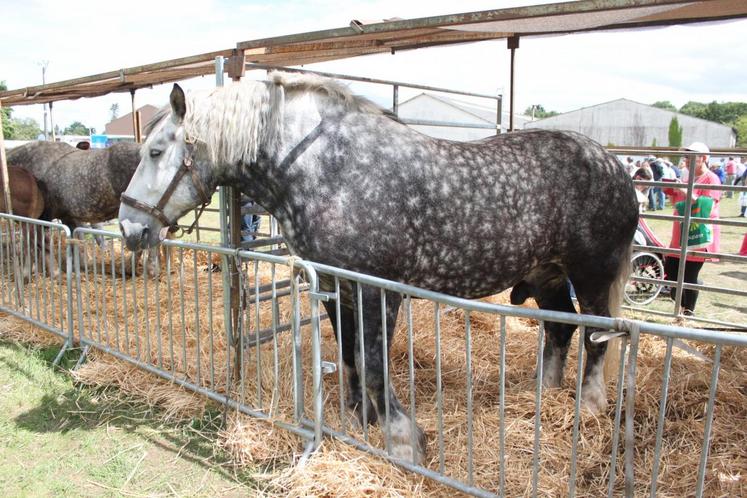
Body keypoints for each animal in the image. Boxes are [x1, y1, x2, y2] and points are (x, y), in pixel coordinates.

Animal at [117, 74, 636, 462]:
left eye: (156, 152)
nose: (129, 227)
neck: (330, 170)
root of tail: (615, 165)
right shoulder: (337, 286)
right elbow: (348, 354)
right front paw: (357, 420)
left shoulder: (378, 290)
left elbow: (372, 363)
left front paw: (404, 440)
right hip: (548, 274)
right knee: (560, 330)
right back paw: (543, 398)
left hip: (591, 274)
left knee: (597, 336)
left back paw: (588, 409)